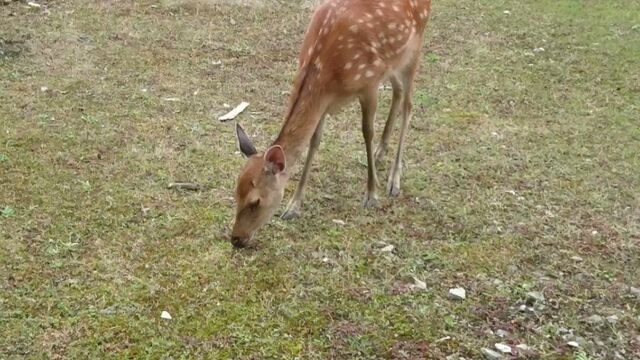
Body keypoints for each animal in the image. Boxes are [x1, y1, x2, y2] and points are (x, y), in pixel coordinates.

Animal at [229, 0, 430, 248]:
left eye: (256, 201)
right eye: (236, 193)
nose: (236, 239)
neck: (328, 73)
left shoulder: (370, 83)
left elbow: (367, 132)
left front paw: (371, 195)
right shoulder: (325, 102)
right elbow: (314, 142)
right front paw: (293, 206)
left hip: (415, 46)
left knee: (409, 105)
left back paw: (394, 180)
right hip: (395, 60)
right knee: (398, 91)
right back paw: (381, 152)